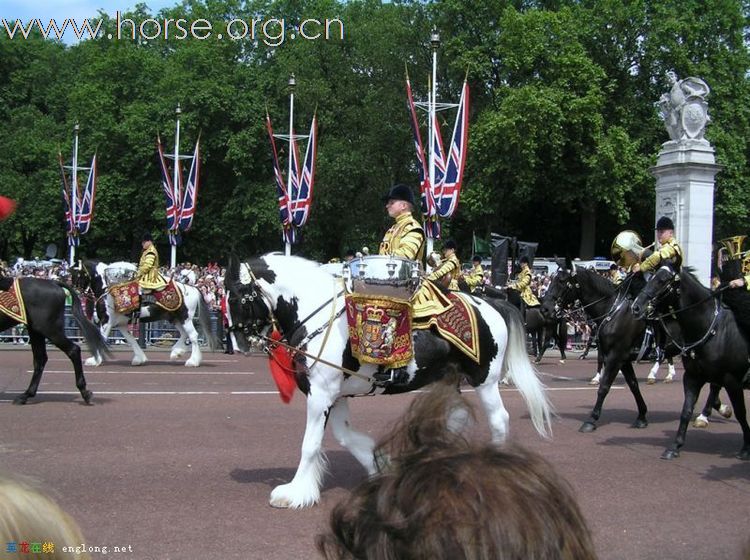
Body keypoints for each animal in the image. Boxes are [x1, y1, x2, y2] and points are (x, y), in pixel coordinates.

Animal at [72, 260, 219, 366]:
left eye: (75, 273)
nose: (73, 290)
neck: (108, 291)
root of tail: (192, 288)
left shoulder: (106, 321)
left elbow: (101, 337)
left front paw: (94, 360)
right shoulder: (121, 324)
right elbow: (131, 339)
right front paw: (139, 358)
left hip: (185, 318)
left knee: (193, 336)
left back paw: (192, 361)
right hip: (175, 318)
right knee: (184, 334)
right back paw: (176, 352)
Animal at [223, 256, 552, 510]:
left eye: (237, 295)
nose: (236, 340)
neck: (320, 315)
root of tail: (492, 304)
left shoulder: (320, 395)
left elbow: (310, 444)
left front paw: (295, 493)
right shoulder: (336, 396)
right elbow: (346, 437)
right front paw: (382, 467)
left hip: (485, 381)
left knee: (499, 419)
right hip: (449, 380)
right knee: (457, 416)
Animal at [636, 266, 750, 460]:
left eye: (662, 281)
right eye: (650, 278)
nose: (636, 306)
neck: (713, 330)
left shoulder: (733, 380)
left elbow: (741, 413)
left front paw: (745, 448)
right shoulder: (692, 377)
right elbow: (686, 410)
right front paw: (674, 446)